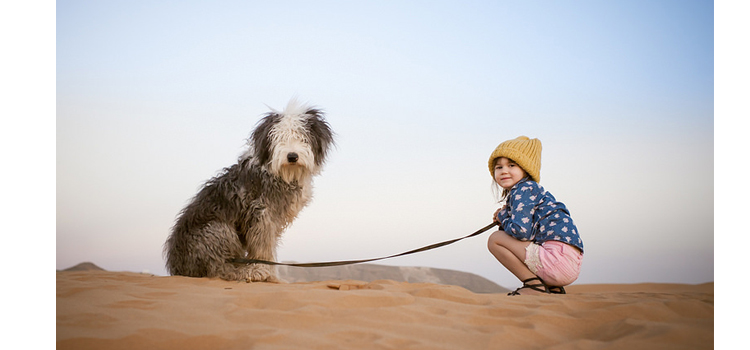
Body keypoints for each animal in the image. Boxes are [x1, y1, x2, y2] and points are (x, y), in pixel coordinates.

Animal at [164, 100, 334, 282]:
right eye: (280, 138)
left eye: (302, 137)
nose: (292, 156)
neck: (281, 173)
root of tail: (177, 266)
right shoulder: (262, 213)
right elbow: (264, 249)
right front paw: (268, 275)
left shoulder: (272, 219)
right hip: (215, 230)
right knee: (218, 269)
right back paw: (249, 272)